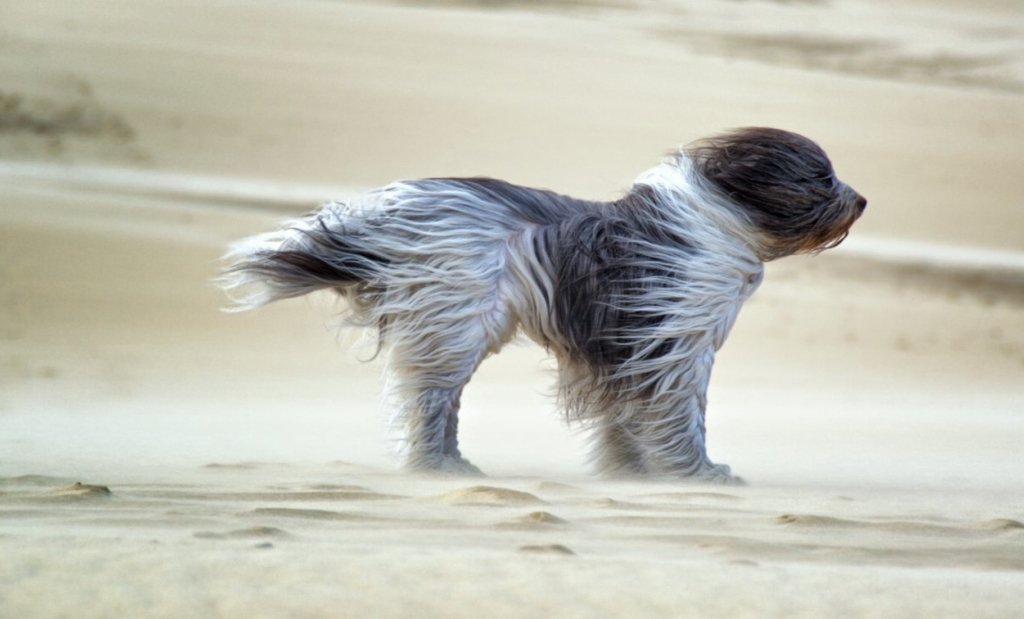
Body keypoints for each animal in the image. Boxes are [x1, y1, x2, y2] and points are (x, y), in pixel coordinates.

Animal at [218, 127, 864, 483]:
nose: (861, 201)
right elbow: (681, 415)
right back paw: (435, 466)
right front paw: (696, 475)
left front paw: (629, 473)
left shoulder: (624, 346)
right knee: (428, 399)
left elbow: (624, 416)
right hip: (454, 320)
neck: (717, 220)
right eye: (821, 177)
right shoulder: (673, 340)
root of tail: (389, 210)